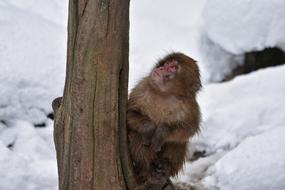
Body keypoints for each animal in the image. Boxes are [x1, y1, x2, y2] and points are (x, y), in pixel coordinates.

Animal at [126, 52, 200, 190]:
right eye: (166, 64)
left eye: (173, 67)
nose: (161, 68)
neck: (164, 94)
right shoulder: (141, 87)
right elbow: (130, 112)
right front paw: (148, 127)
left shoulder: (189, 104)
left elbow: (189, 128)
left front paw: (162, 131)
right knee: (137, 136)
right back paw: (148, 171)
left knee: (178, 142)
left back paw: (165, 168)